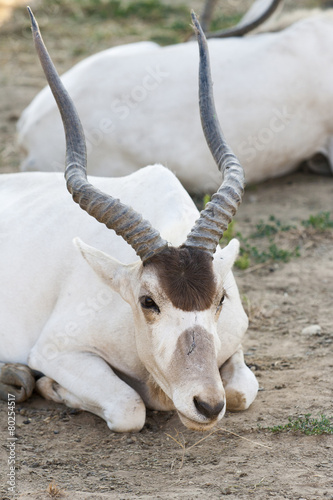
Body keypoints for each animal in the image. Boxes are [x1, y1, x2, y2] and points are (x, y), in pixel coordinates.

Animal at [0, 10, 256, 434]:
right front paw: (52, 387)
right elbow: (128, 409)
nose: (206, 404)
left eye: (221, 298)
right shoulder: (57, 350)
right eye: (147, 301)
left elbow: (240, 392)